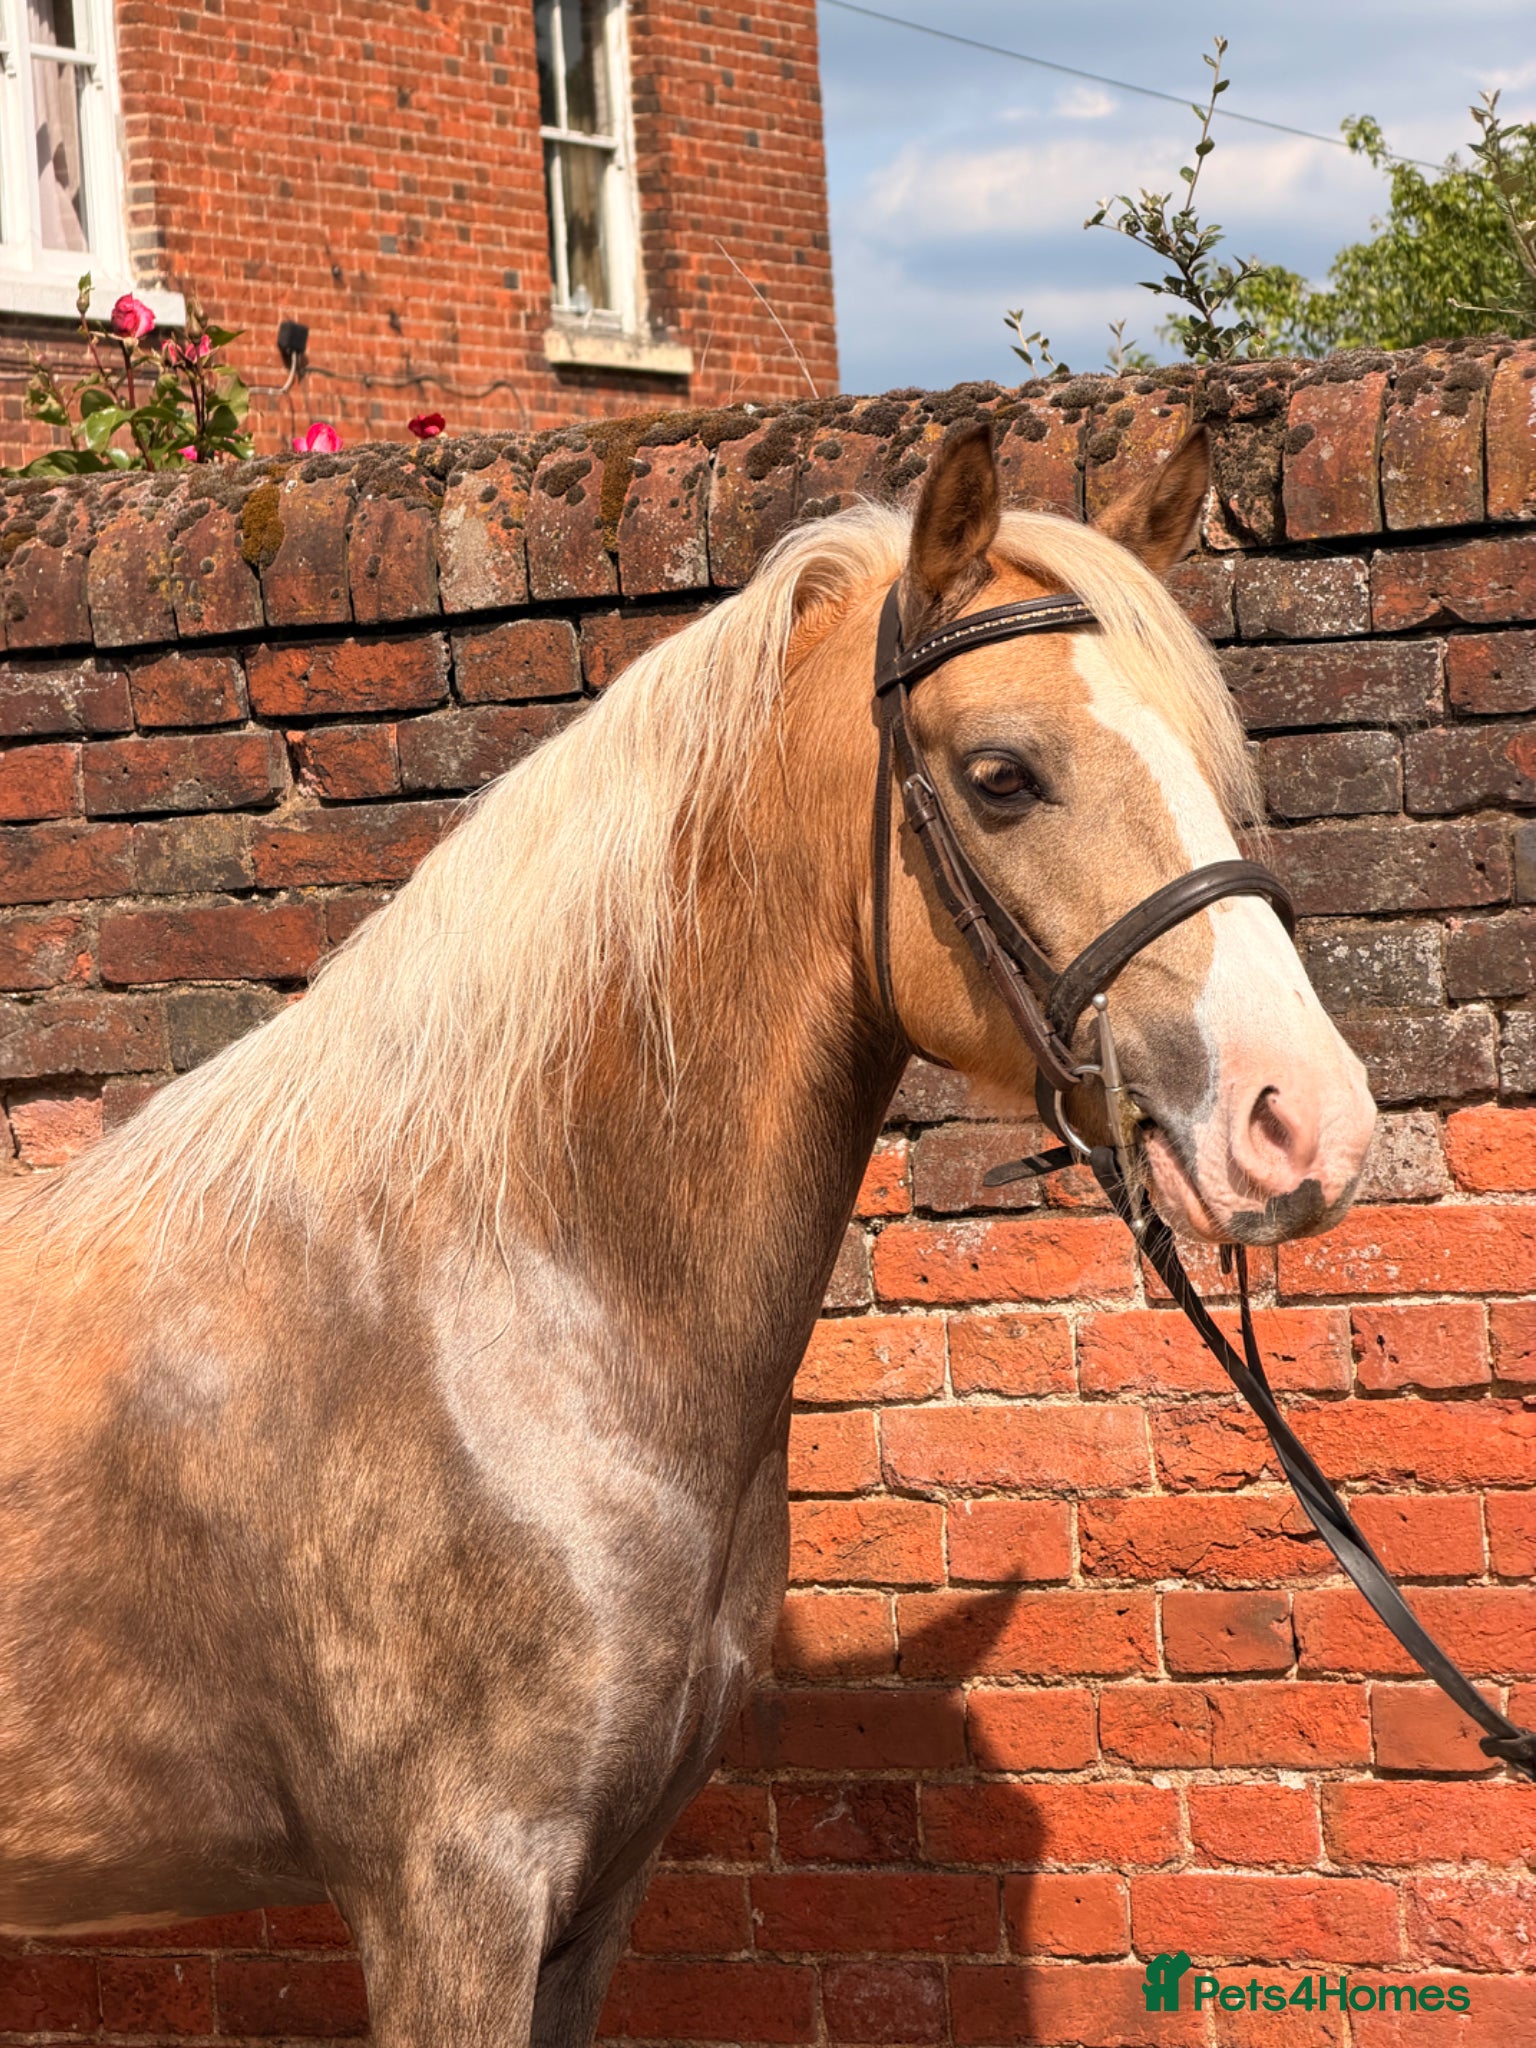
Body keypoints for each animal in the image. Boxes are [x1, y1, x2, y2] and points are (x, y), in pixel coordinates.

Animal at [0, 421, 1376, 2045]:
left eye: (1214, 767)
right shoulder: (447, 1897)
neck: (497, 1321)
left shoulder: (595, 1895)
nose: (1307, 1122)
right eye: (1002, 775)